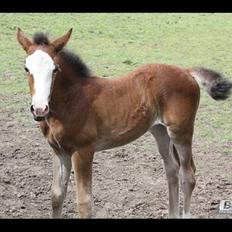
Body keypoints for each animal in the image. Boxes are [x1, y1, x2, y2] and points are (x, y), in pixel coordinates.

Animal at [16, 28, 232, 218]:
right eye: (26, 68)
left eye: (55, 70)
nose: (39, 109)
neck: (71, 100)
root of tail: (187, 71)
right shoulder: (59, 151)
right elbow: (56, 196)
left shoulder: (83, 151)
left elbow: (84, 202)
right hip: (160, 131)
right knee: (172, 170)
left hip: (181, 131)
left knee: (188, 175)